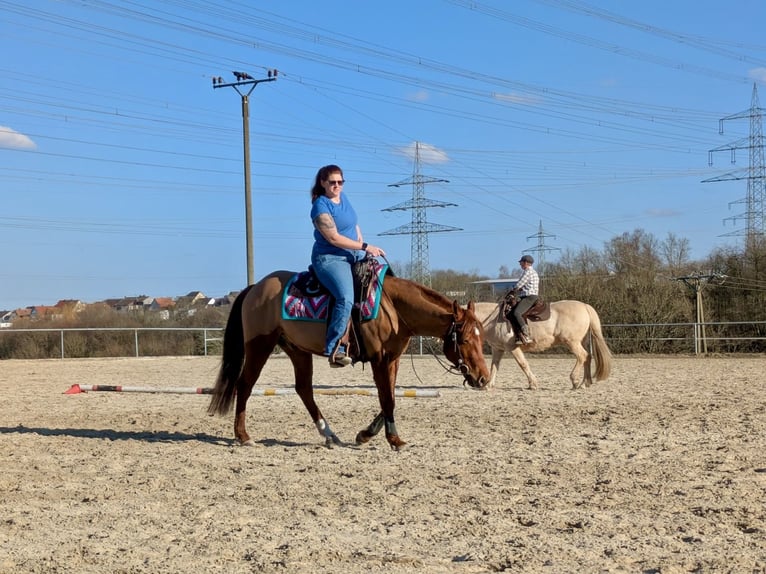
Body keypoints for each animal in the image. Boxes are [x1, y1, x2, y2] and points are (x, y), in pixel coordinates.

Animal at [208, 269, 490, 450]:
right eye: (465, 339)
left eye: (481, 336)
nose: (483, 379)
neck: (393, 307)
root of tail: (255, 287)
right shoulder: (379, 359)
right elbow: (387, 399)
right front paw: (394, 440)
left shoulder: (393, 359)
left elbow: (390, 398)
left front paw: (365, 435)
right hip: (260, 345)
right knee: (245, 385)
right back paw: (243, 436)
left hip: (297, 350)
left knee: (304, 390)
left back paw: (329, 434)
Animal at [473, 300, 612, 390]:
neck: (494, 320)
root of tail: (584, 306)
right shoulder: (498, 349)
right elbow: (494, 366)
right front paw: (488, 385)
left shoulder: (512, 347)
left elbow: (523, 364)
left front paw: (533, 384)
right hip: (581, 341)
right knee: (588, 358)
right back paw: (585, 383)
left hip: (572, 342)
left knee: (582, 356)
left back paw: (575, 381)